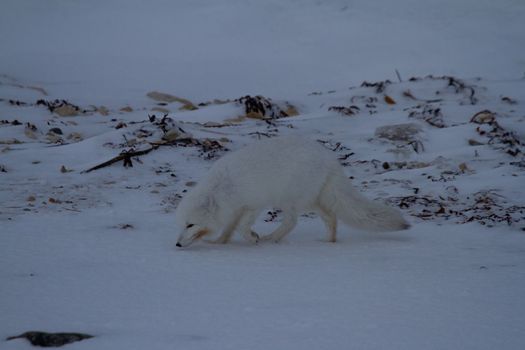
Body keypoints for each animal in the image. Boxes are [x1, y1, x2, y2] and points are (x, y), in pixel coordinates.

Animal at [176, 135, 410, 247]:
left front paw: (253, 238)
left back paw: (271, 239)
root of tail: (330, 159)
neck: (222, 188)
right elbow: (228, 229)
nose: (177, 244)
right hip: (312, 200)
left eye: (190, 224)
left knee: (292, 221)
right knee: (331, 217)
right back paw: (329, 241)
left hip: (287, 199)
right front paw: (219, 243)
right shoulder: (235, 210)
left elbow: (241, 227)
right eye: (182, 224)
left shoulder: (252, 204)